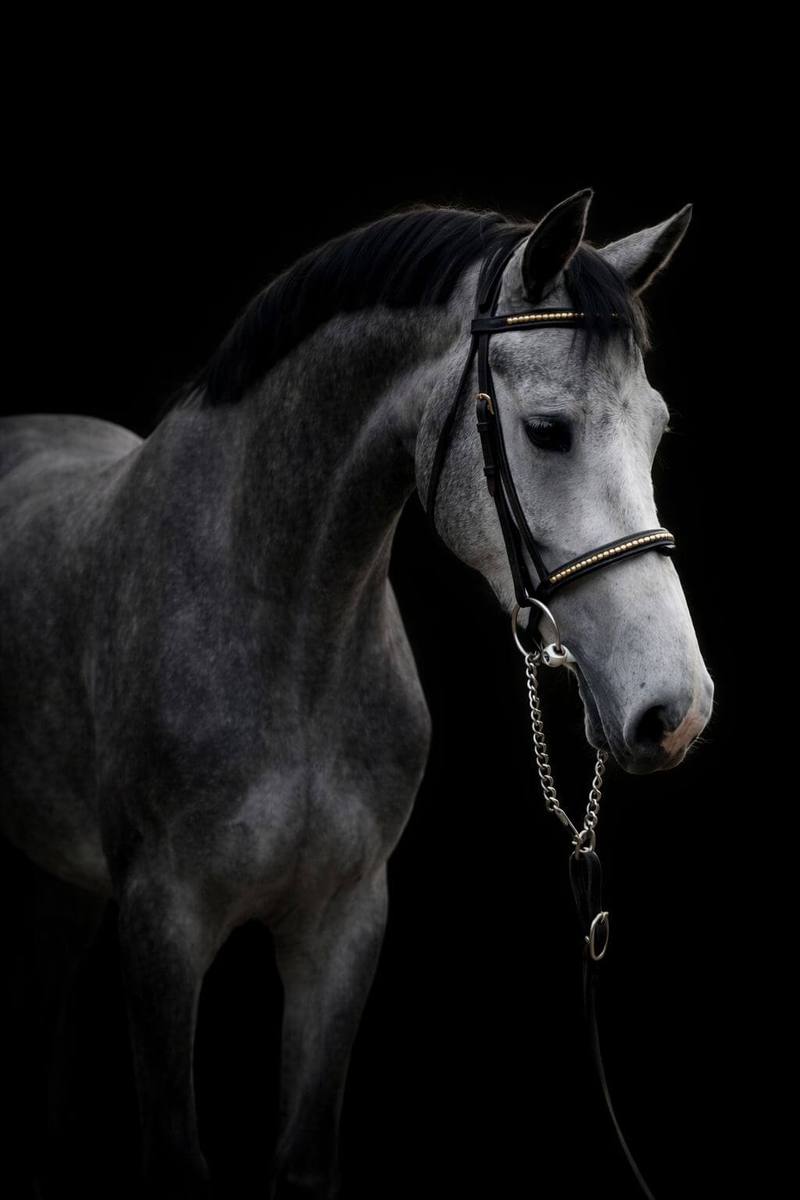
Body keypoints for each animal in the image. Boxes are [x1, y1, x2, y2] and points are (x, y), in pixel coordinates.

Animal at [0, 187, 715, 1198]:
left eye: (657, 429)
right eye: (547, 430)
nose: (676, 710)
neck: (288, 634)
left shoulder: (343, 927)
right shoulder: (161, 929)